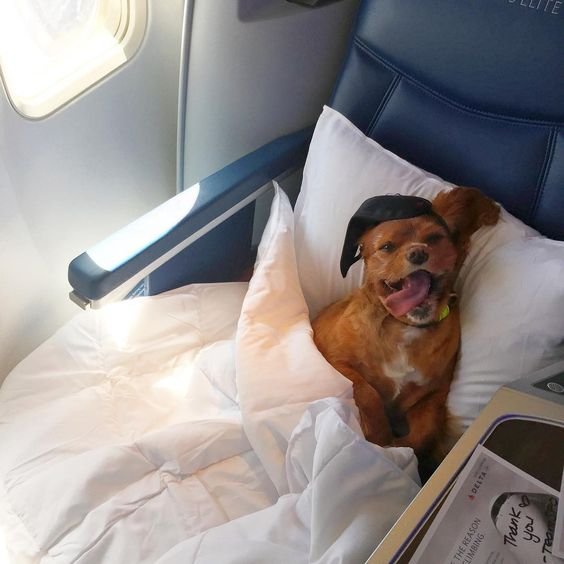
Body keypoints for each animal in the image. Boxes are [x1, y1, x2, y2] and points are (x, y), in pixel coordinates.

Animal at [310, 187, 500, 460]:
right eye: (387, 247)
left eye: (435, 238)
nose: (418, 252)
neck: (402, 326)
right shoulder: (335, 361)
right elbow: (367, 392)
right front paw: (378, 438)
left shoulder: (433, 395)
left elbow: (423, 432)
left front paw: (399, 449)